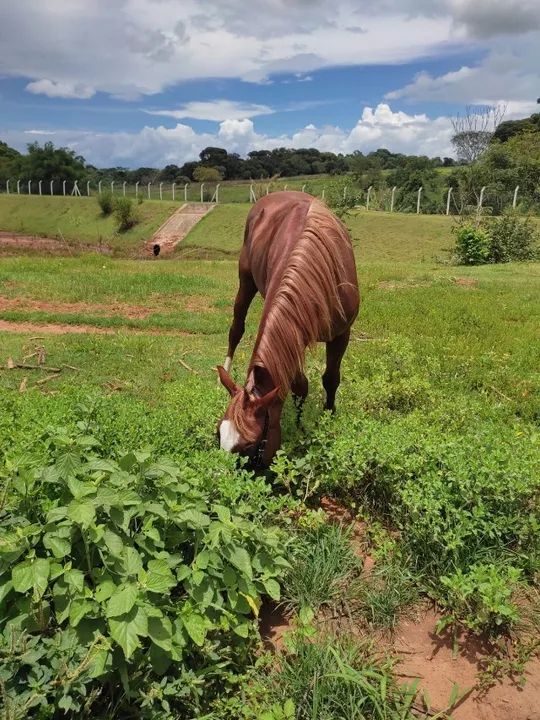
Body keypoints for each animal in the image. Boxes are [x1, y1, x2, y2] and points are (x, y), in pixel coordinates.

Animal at [216, 191, 359, 468]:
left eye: (250, 446)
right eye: (218, 434)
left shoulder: (340, 334)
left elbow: (330, 378)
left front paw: (327, 417)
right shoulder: (290, 337)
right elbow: (300, 386)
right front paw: (299, 425)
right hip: (245, 280)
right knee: (236, 328)